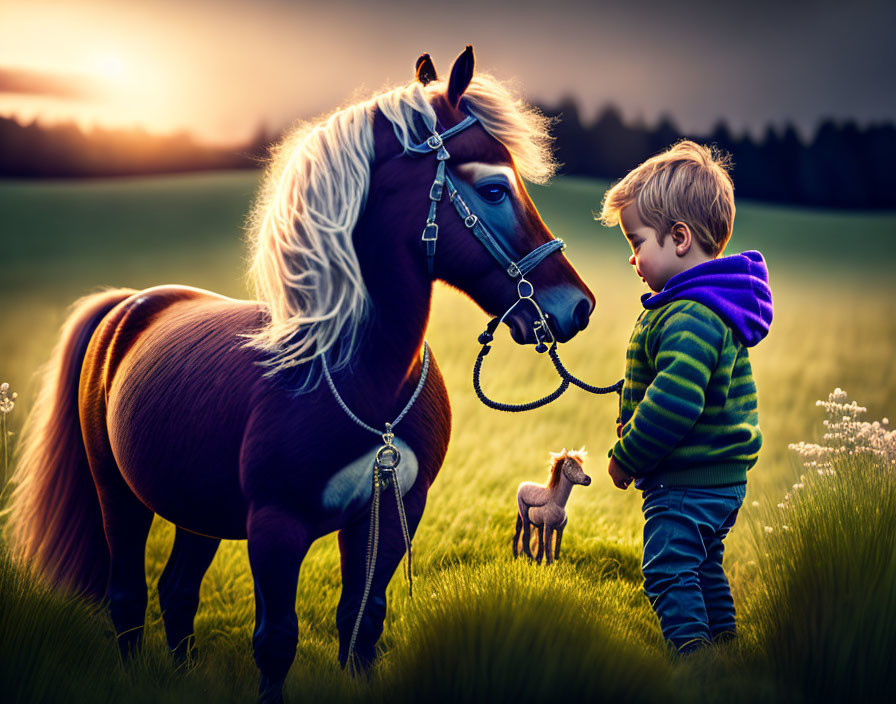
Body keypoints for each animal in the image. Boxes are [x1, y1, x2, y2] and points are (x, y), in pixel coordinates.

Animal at [7, 46, 600, 700]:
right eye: (494, 189)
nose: (577, 307)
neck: (367, 383)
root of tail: (130, 305)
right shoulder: (276, 529)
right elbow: (275, 642)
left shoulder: (390, 519)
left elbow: (362, 625)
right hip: (119, 494)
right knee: (127, 597)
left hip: (197, 509)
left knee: (177, 593)